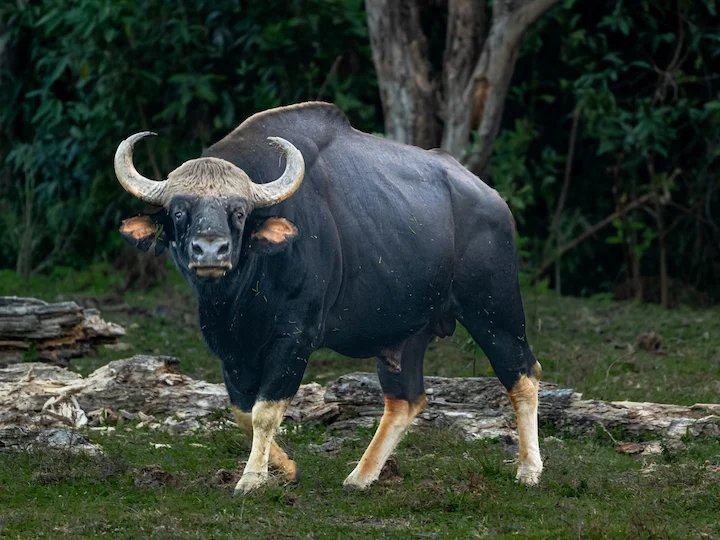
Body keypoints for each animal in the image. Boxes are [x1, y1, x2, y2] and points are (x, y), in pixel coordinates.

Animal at [116, 102, 543, 495]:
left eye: (238, 211)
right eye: (179, 211)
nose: (210, 251)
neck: (240, 295)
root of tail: (494, 202)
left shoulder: (295, 337)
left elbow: (265, 410)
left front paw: (252, 479)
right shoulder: (231, 347)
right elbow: (242, 411)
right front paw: (286, 469)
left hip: (494, 310)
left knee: (523, 373)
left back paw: (529, 470)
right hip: (408, 333)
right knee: (405, 399)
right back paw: (361, 476)